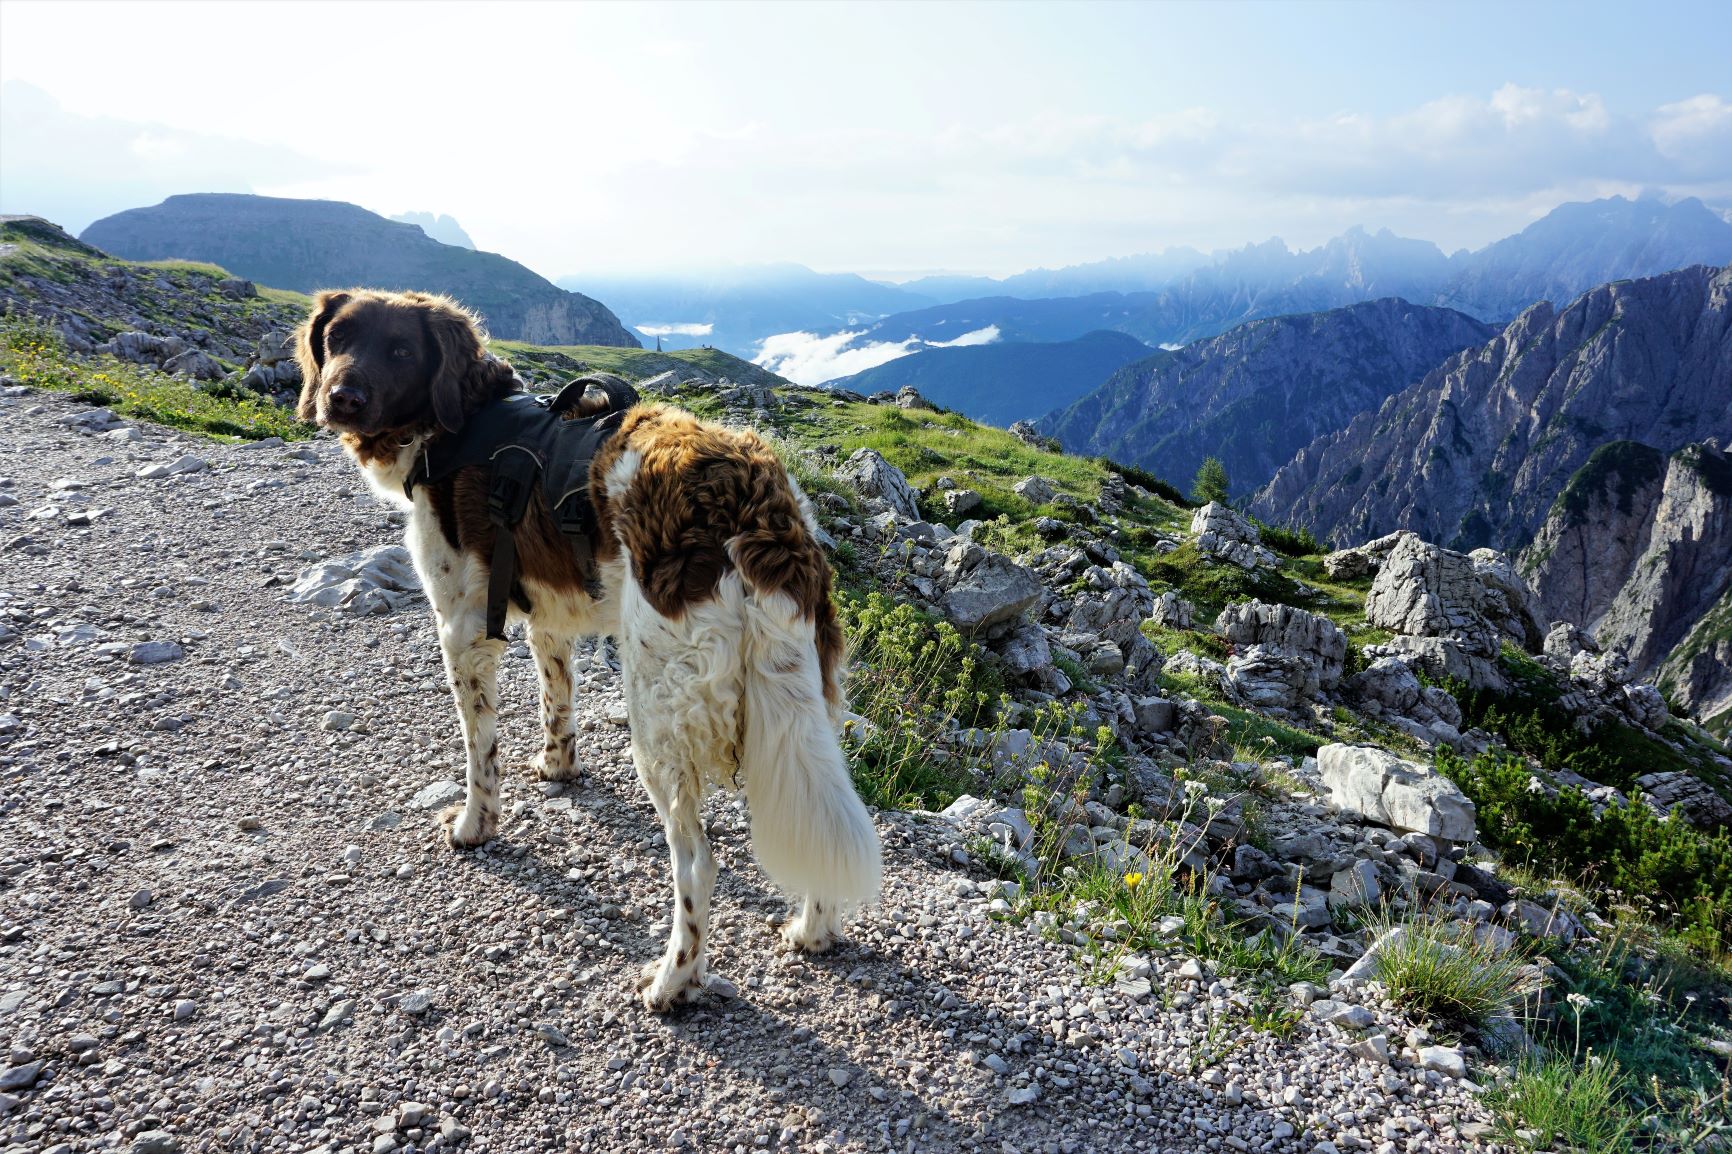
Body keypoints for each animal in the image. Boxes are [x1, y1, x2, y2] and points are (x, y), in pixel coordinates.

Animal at [294, 289, 879, 1004]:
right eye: (338, 338)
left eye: (401, 349)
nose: (339, 397)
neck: (462, 425)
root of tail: (753, 508)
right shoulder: (547, 613)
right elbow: (558, 699)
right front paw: (557, 768)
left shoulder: (462, 627)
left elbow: (479, 752)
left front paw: (474, 827)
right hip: (807, 697)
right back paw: (812, 931)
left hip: (658, 714)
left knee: (697, 862)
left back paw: (673, 982)